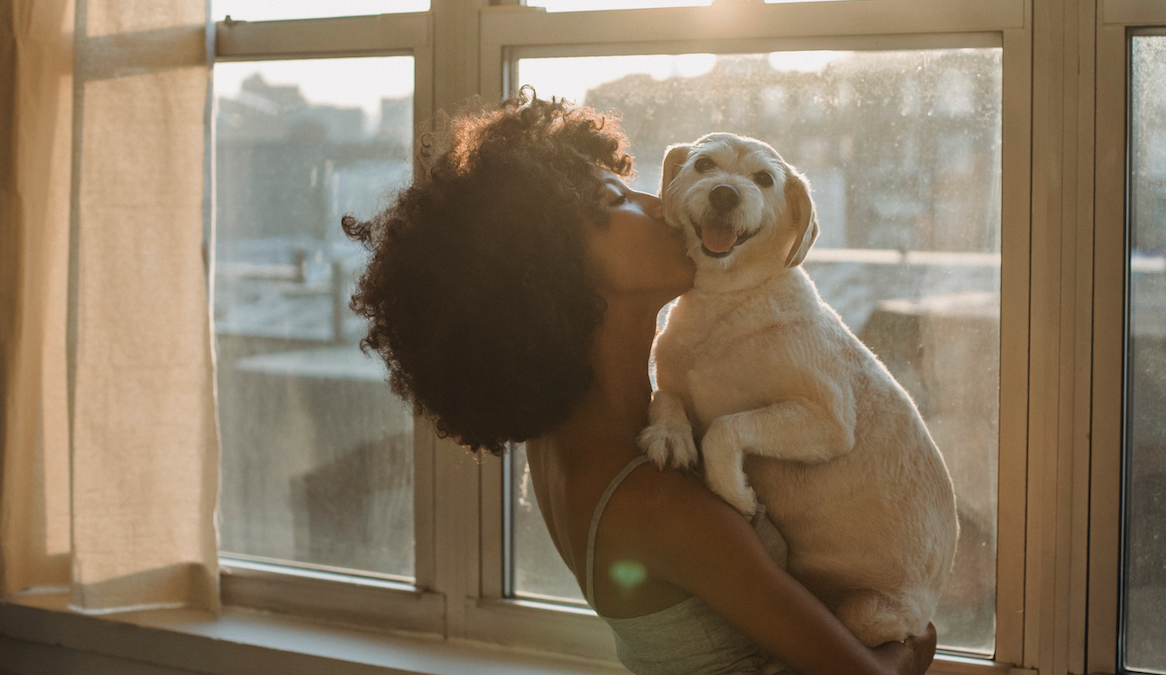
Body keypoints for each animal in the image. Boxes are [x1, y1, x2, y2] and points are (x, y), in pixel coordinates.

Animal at [638, 133, 956, 648]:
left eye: (764, 179)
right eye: (703, 165)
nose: (725, 193)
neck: (727, 303)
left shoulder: (827, 420)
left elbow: (726, 427)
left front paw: (736, 494)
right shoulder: (672, 376)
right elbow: (666, 396)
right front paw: (670, 434)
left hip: (870, 613)